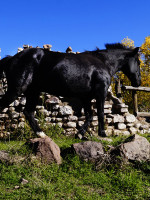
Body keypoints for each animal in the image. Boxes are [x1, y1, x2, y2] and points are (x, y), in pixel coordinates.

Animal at [0, 43, 141, 138]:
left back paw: (41, 134)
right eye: (138, 62)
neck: (103, 62)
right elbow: (100, 113)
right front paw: (102, 133)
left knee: (28, 112)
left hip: (33, 92)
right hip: (17, 90)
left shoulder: (86, 97)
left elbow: (90, 115)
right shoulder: (100, 93)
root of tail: (11, 58)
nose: (138, 83)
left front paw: (79, 134)